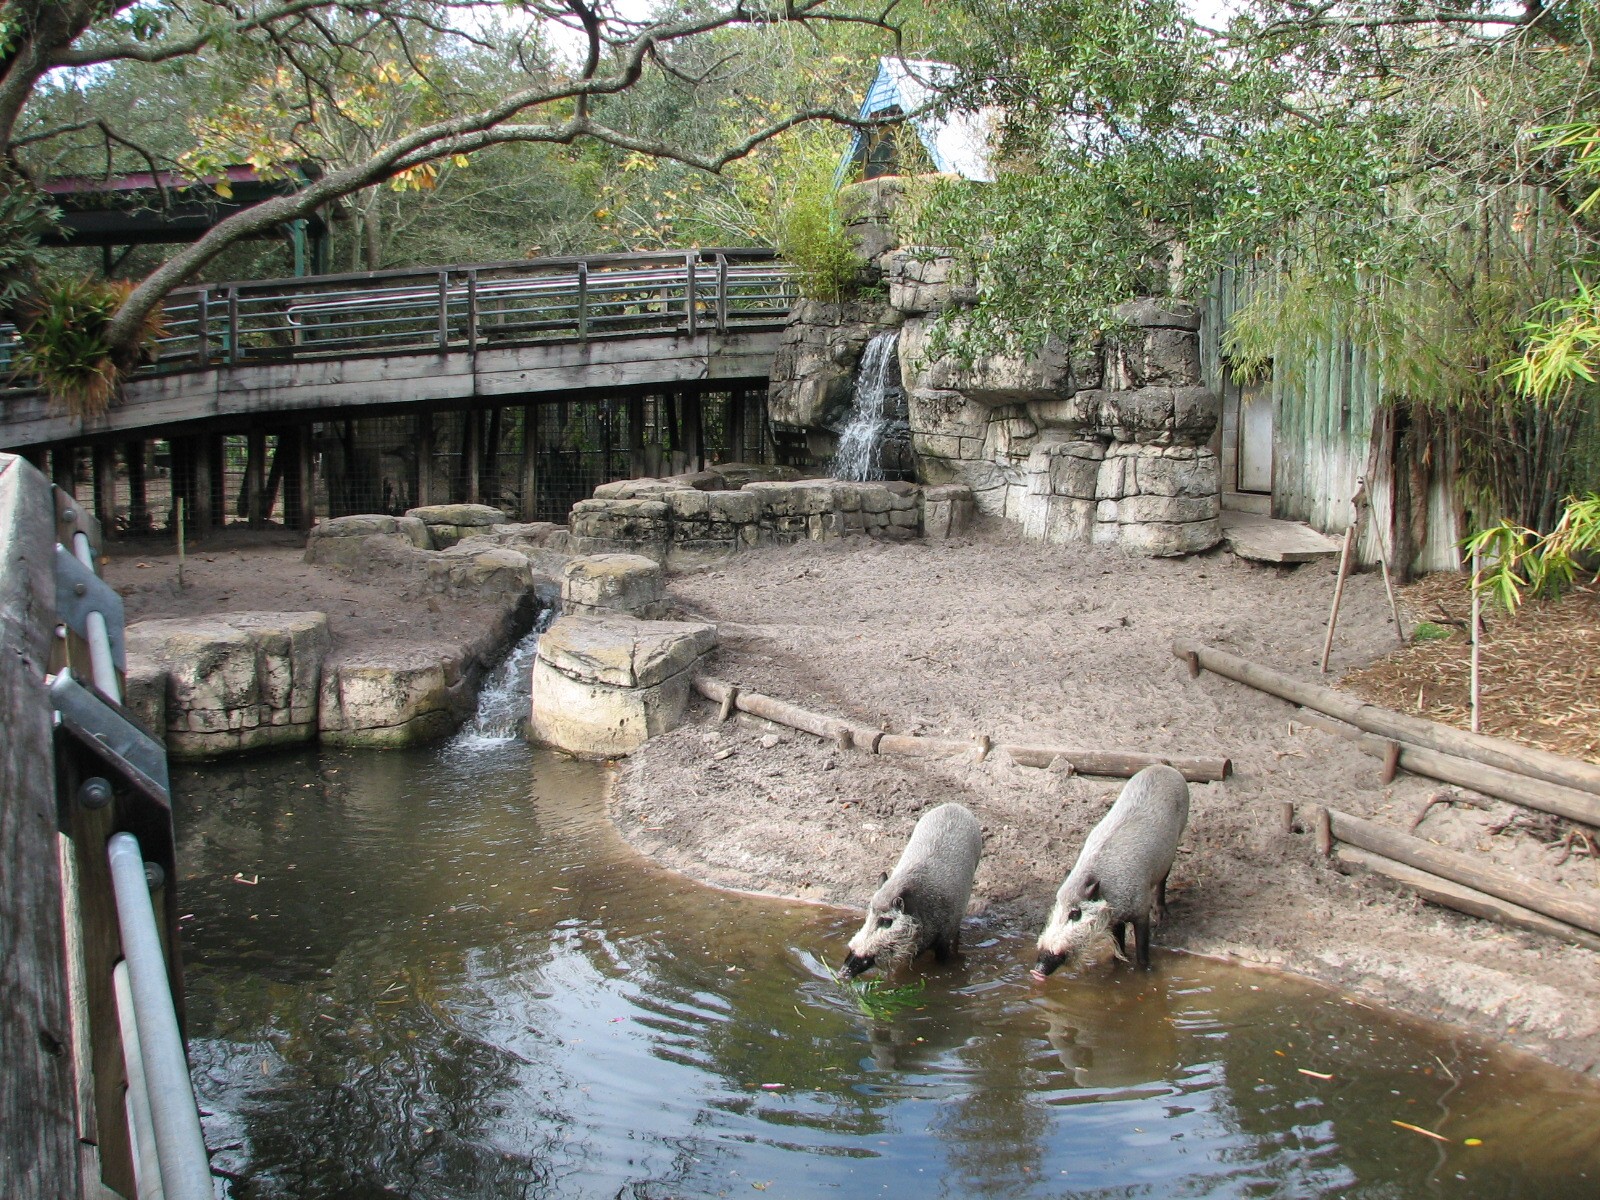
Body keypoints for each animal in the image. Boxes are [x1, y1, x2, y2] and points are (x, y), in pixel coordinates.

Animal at [1033, 764, 1190, 977]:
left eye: (1075, 914)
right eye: (1056, 906)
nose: (1036, 971)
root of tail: (1164, 767)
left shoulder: (1141, 909)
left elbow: (1142, 951)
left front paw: (1144, 970)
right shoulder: (1116, 919)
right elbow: (1119, 949)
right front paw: (1118, 965)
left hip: (1174, 845)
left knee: (1163, 880)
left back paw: (1162, 916)